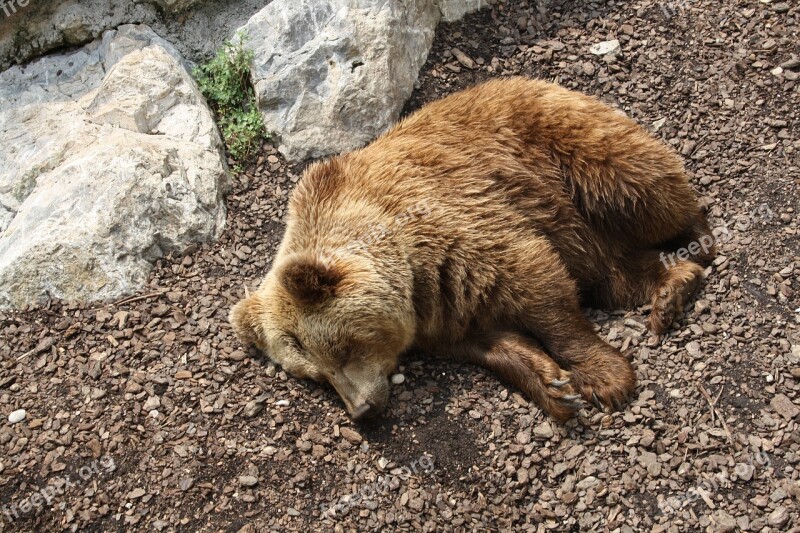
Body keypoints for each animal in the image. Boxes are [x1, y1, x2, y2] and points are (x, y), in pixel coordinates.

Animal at [228, 77, 716, 422]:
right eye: (315, 376)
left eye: (343, 350)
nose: (362, 410)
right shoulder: (442, 310)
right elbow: (492, 343)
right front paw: (554, 388)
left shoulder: (459, 232)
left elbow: (541, 287)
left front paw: (606, 379)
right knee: (614, 274)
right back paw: (670, 288)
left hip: (565, 148)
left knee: (637, 185)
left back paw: (694, 245)